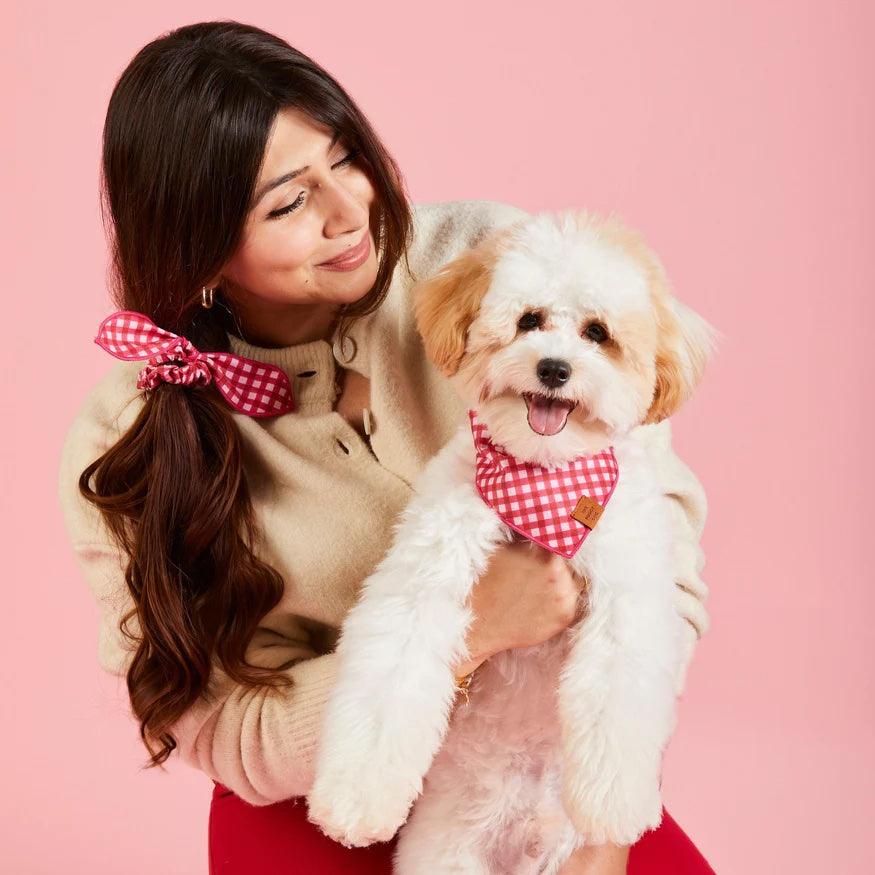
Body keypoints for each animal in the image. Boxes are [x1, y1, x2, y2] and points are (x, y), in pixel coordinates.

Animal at [308, 209, 712, 872]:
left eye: (597, 333)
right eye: (529, 321)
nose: (554, 368)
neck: (540, 485)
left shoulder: (627, 590)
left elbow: (616, 690)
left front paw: (614, 804)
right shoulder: (426, 571)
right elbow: (392, 674)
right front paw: (355, 801)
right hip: (447, 852)